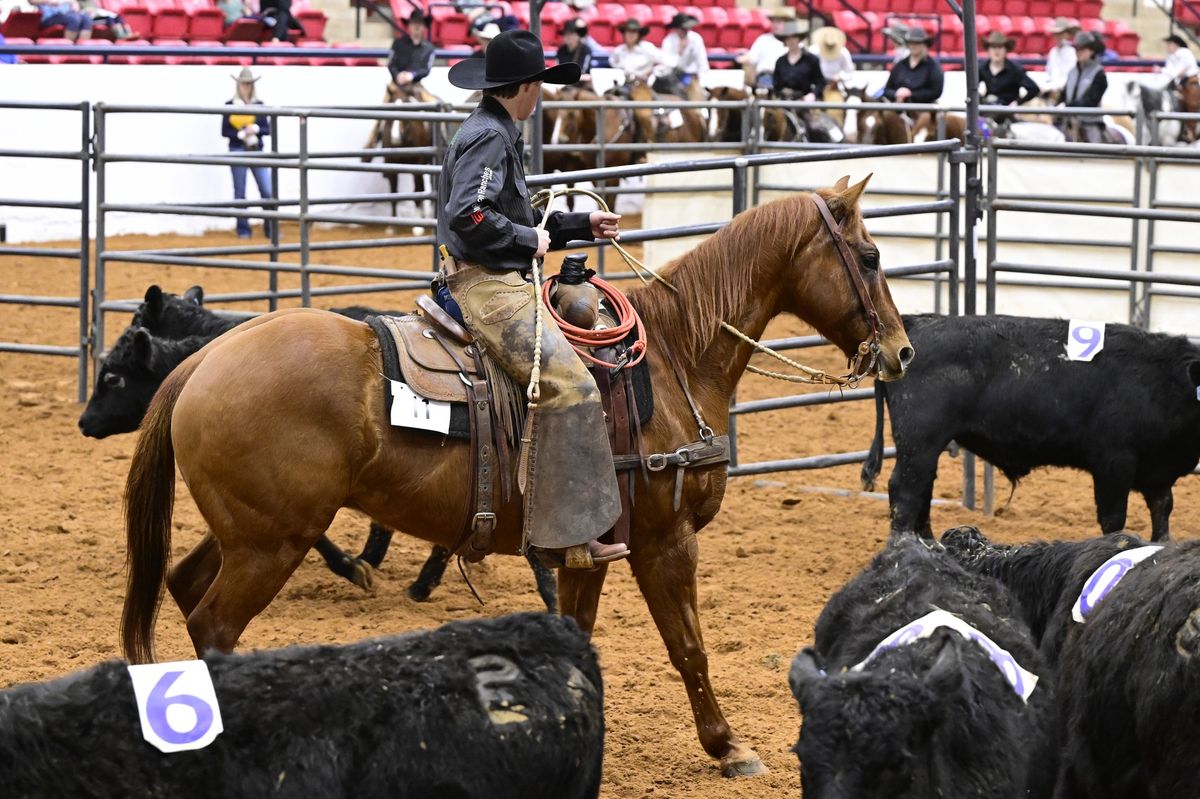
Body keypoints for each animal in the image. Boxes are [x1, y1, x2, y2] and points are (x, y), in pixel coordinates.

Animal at [119, 177, 907, 772]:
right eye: (869, 256)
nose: (900, 351)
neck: (672, 355)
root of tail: (204, 359)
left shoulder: (592, 549)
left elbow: (578, 637)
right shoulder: (665, 540)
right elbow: (688, 645)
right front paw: (729, 746)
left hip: (252, 531)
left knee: (185, 591)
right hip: (270, 543)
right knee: (214, 623)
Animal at [864, 314, 1200, 537]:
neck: (1164, 382)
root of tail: (916, 323)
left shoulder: (1158, 473)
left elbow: (1162, 511)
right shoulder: (1113, 462)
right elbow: (1114, 519)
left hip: (927, 446)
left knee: (922, 486)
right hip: (920, 440)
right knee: (905, 491)